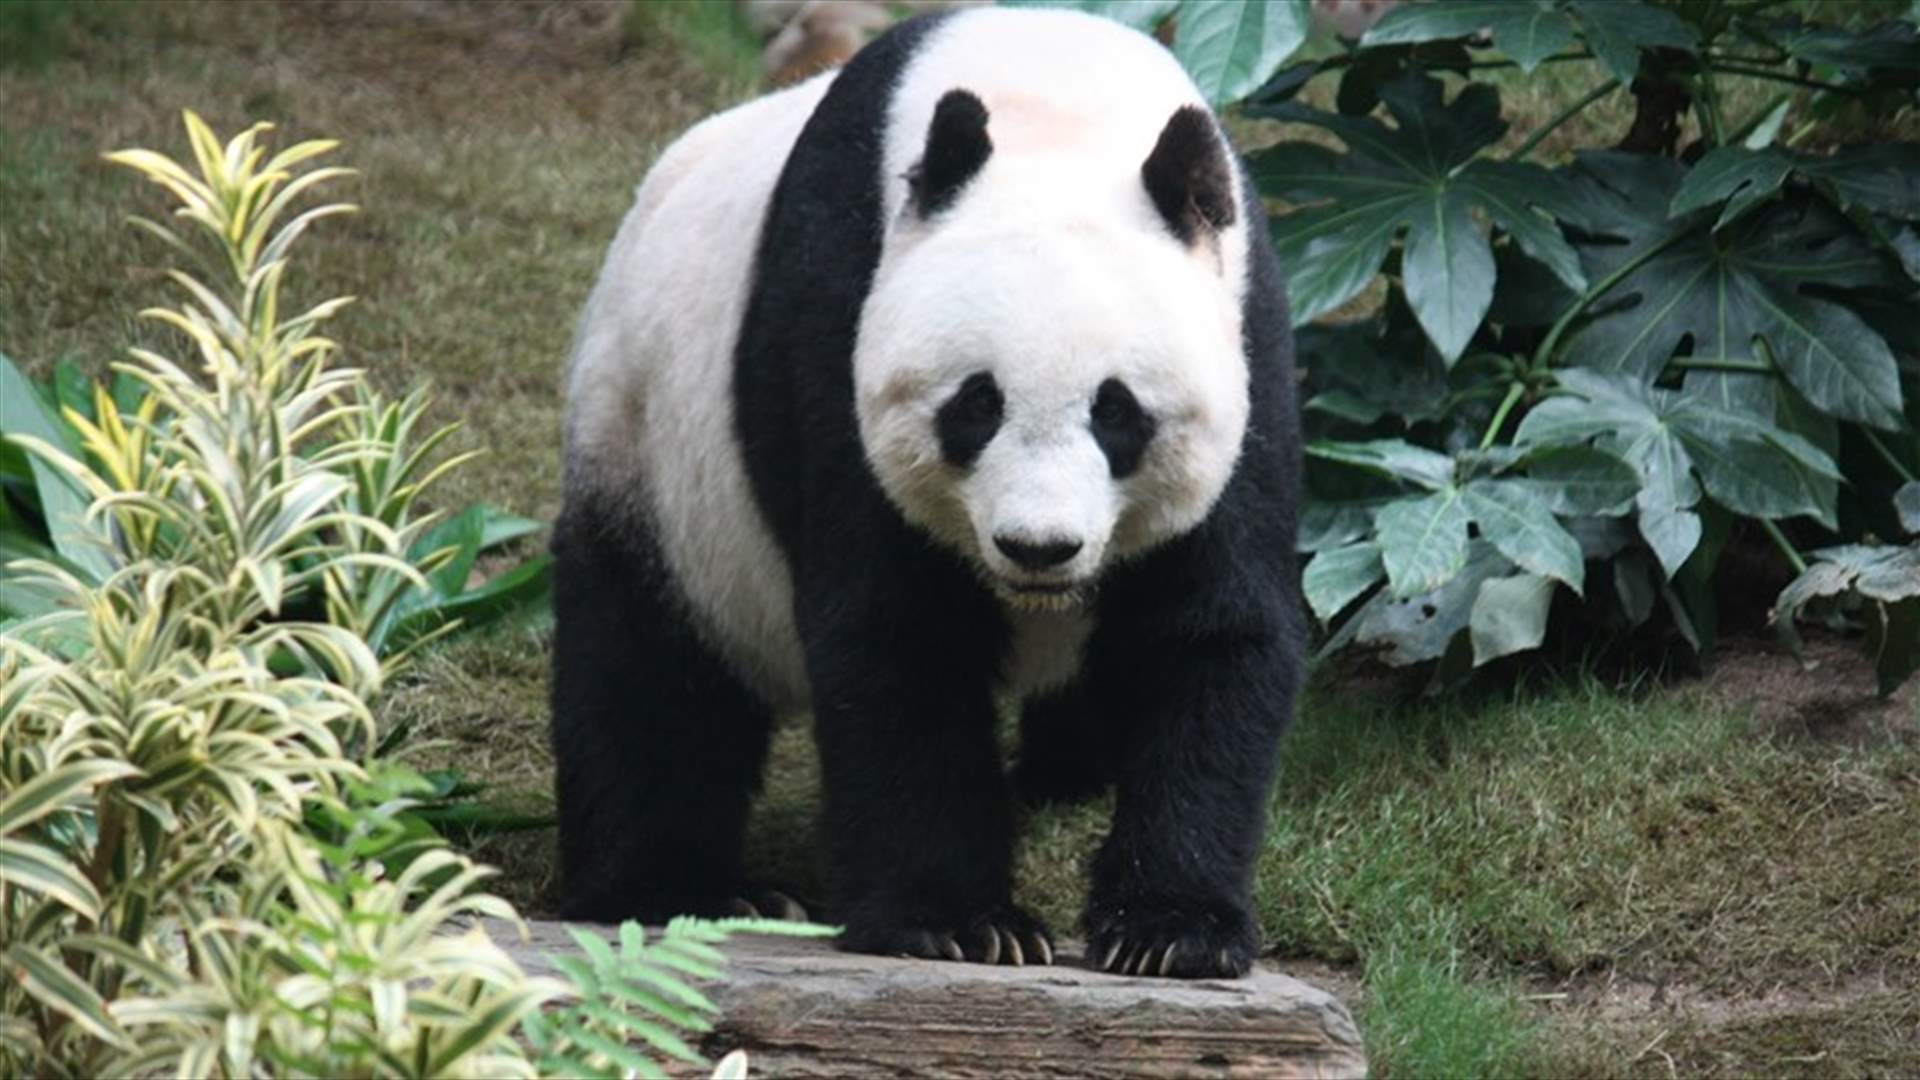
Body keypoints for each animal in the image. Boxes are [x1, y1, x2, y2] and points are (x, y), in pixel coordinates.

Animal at [551, 5, 1301, 979]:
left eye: (1118, 413)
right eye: (977, 405)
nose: (1038, 547)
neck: (1055, 105)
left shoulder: (1249, 341)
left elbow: (1209, 631)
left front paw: (1169, 930)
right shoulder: (837, 312)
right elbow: (899, 634)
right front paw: (960, 923)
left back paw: (1063, 776)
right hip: (649, 448)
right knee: (649, 671)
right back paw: (678, 888)